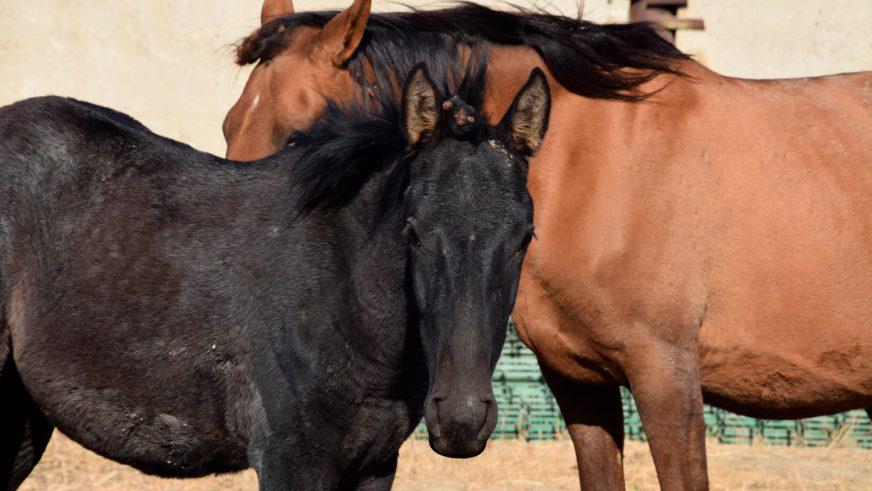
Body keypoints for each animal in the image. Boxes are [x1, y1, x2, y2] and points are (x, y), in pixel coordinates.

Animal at [0, 57, 544, 488]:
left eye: (525, 237)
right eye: (413, 232)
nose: (461, 420)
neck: (338, 292)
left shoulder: (374, 465)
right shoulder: (290, 460)